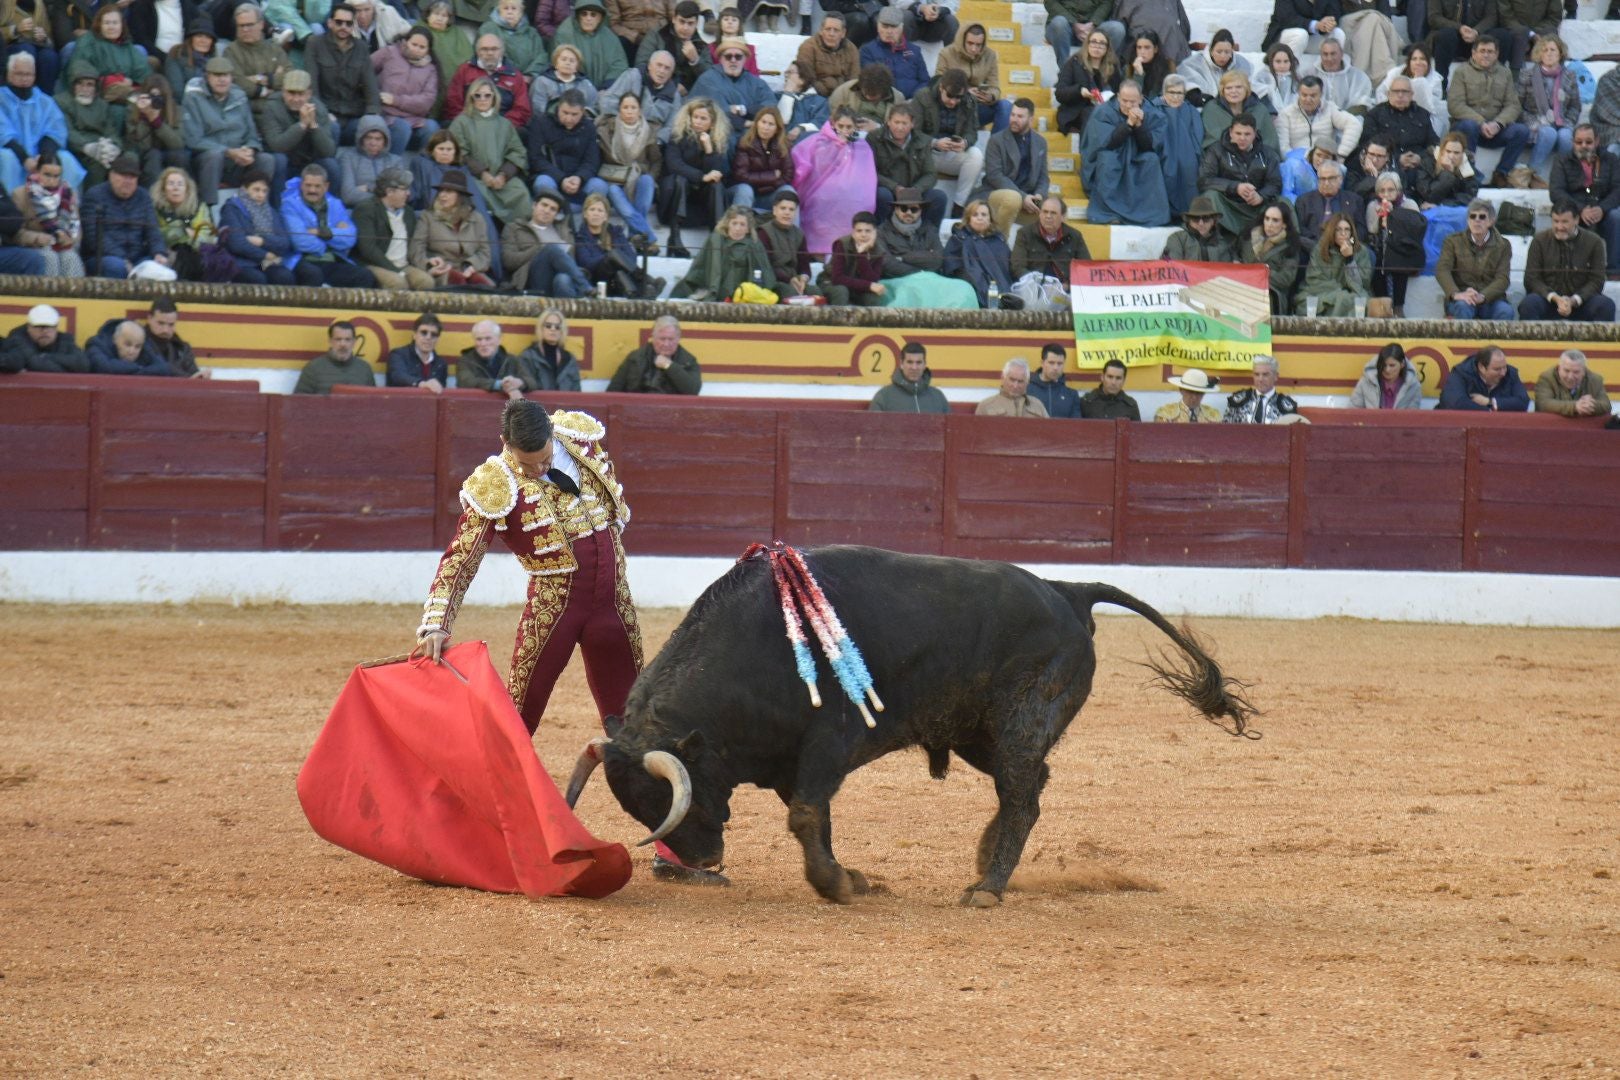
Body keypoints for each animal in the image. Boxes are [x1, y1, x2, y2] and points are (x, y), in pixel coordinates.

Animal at [563, 544, 1257, 906]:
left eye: (669, 796)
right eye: (638, 807)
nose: (705, 859)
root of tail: (1066, 590)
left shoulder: (828, 743)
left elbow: (807, 817)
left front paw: (837, 887)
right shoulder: (795, 762)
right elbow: (818, 818)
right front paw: (852, 878)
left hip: (1020, 721)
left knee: (1023, 793)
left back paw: (988, 887)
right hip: (980, 734)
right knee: (1030, 787)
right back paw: (985, 862)